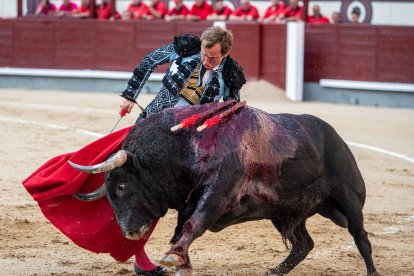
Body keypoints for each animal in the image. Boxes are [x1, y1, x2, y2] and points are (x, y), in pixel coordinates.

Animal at [70, 102, 378, 276]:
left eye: (122, 186)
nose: (129, 232)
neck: (185, 143)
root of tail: (337, 138)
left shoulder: (216, 194)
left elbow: (194, 224)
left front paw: (173, 257)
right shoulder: (188, 202)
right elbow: (182, 229)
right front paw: (181, 261)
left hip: (349, 200)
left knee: (360, 237)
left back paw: (372, 272)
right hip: (285, 212)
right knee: (304, 244)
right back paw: (274, 271)